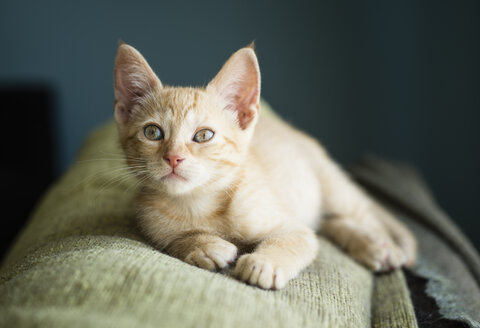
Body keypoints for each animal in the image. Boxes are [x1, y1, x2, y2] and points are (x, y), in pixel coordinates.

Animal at [112, 42, 416, 288]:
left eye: (203, 135)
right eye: (153, 132)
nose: (173, 157)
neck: (198, 203)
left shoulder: (292, 225)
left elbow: (294, 240)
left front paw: (264, 263)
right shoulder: (151, 221)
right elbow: (173, 238)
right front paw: (202, 244)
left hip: (331, 188)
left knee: (363, 214)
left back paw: (379, 246)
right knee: (329, 223)